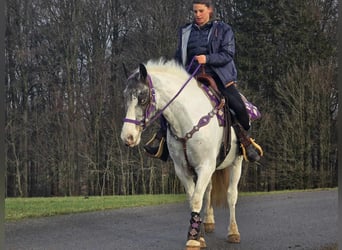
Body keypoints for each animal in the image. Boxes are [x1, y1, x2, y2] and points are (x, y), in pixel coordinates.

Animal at [120, 59, 243, 250]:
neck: (188, 121)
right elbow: (194, 199)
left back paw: (233, 232)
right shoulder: (184, 170)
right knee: (209, 192)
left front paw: (193, 238)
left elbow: (197, 199)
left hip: (236, 162)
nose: (127, 136)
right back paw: (208, 222)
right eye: (125, 97)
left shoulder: (205, 166)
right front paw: (199, 236)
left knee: (231, 195)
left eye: (143, 98)